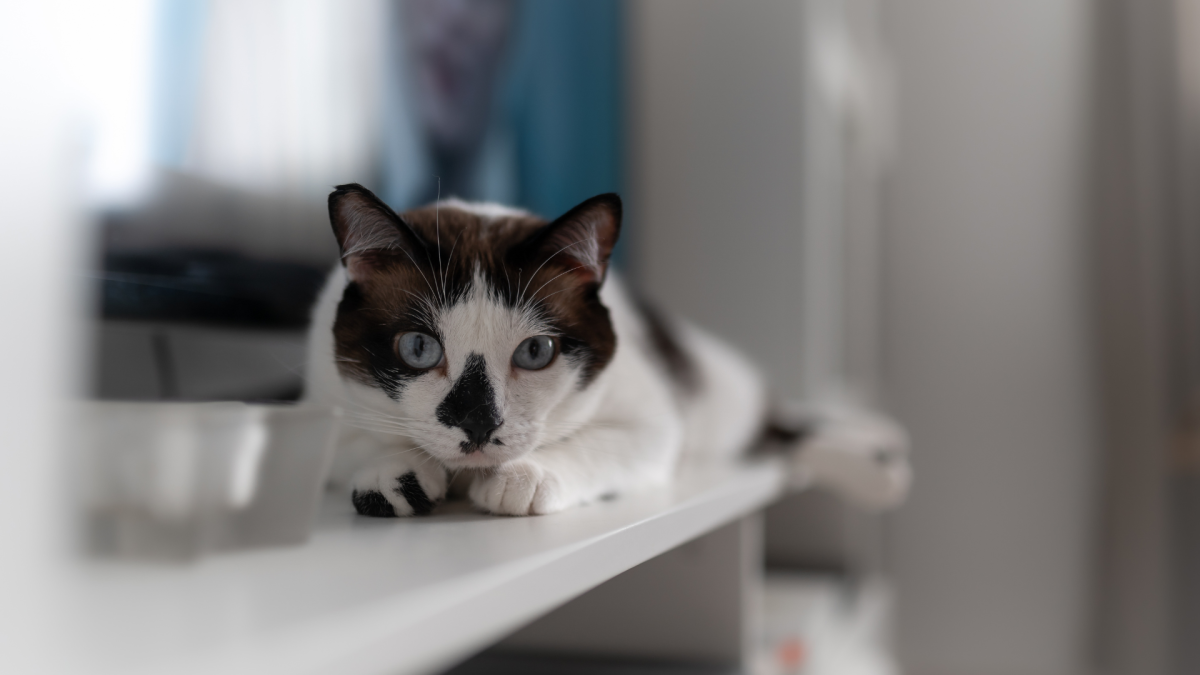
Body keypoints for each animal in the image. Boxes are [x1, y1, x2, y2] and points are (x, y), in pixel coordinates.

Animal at [302, 183, 907, 514]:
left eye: (536, 353)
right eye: (419, 348)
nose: (477, 424)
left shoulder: (656, 421)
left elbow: (598, 445)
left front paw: (522, 477)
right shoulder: (324, 399)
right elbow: (354, 440)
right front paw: (395, 474)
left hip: (724, 403)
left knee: (782, 431)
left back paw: (880, 466)